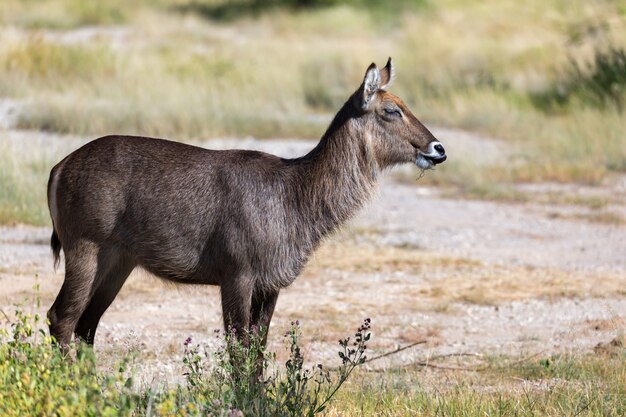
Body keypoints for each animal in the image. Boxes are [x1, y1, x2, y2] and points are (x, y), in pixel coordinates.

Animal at [47, 58, 444, 348]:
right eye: (391, 110)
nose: (438, 148)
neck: (294, 192)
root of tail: (60, 165)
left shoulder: (271, 285)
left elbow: (258, 349)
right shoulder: (237, 275)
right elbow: (239, 348)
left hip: (120, 261)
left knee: (86, 325)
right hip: (85, 247)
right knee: (61, 318)